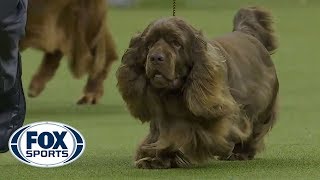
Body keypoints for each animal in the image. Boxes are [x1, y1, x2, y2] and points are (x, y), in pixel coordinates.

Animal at [116, 6, 278, 168]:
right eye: (149, 44)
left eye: (176, 43)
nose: (155, 57)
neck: (173, 94)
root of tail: (246, 33)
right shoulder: (162, 121)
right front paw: (152, 156)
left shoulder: (215, 118)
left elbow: (189, 137)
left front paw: (163, 158)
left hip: (261, 106)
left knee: (254, 129)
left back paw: (240, 152)